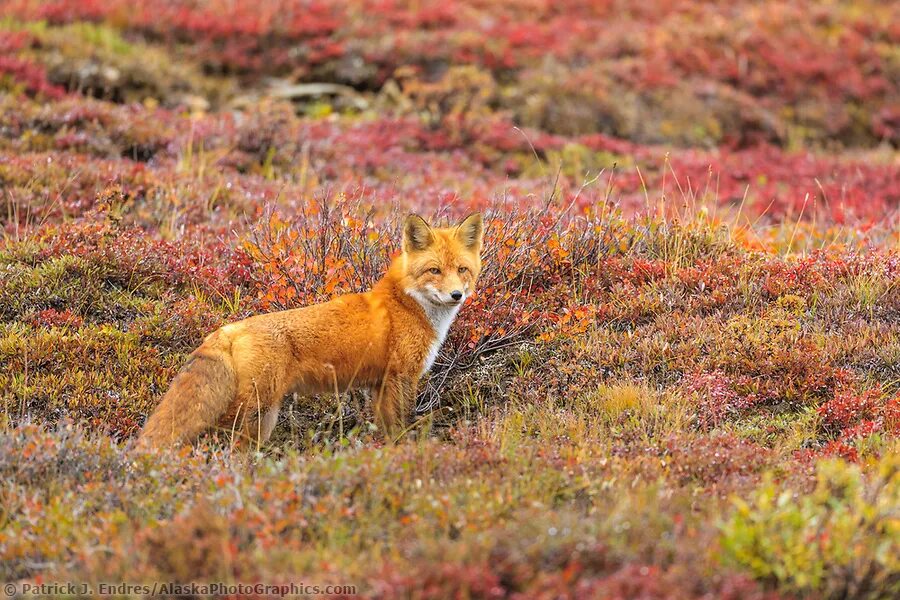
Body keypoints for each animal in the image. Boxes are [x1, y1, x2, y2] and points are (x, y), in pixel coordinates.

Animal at [136, 213, 482, 448]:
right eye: (434, 270)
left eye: (462, 269)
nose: (456, 295)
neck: (408, 304)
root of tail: (229, 328)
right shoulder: (401, 378)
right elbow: (398, 429)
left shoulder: (380, 385)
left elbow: (383, 430)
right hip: (254, 412)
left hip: (263, 418)